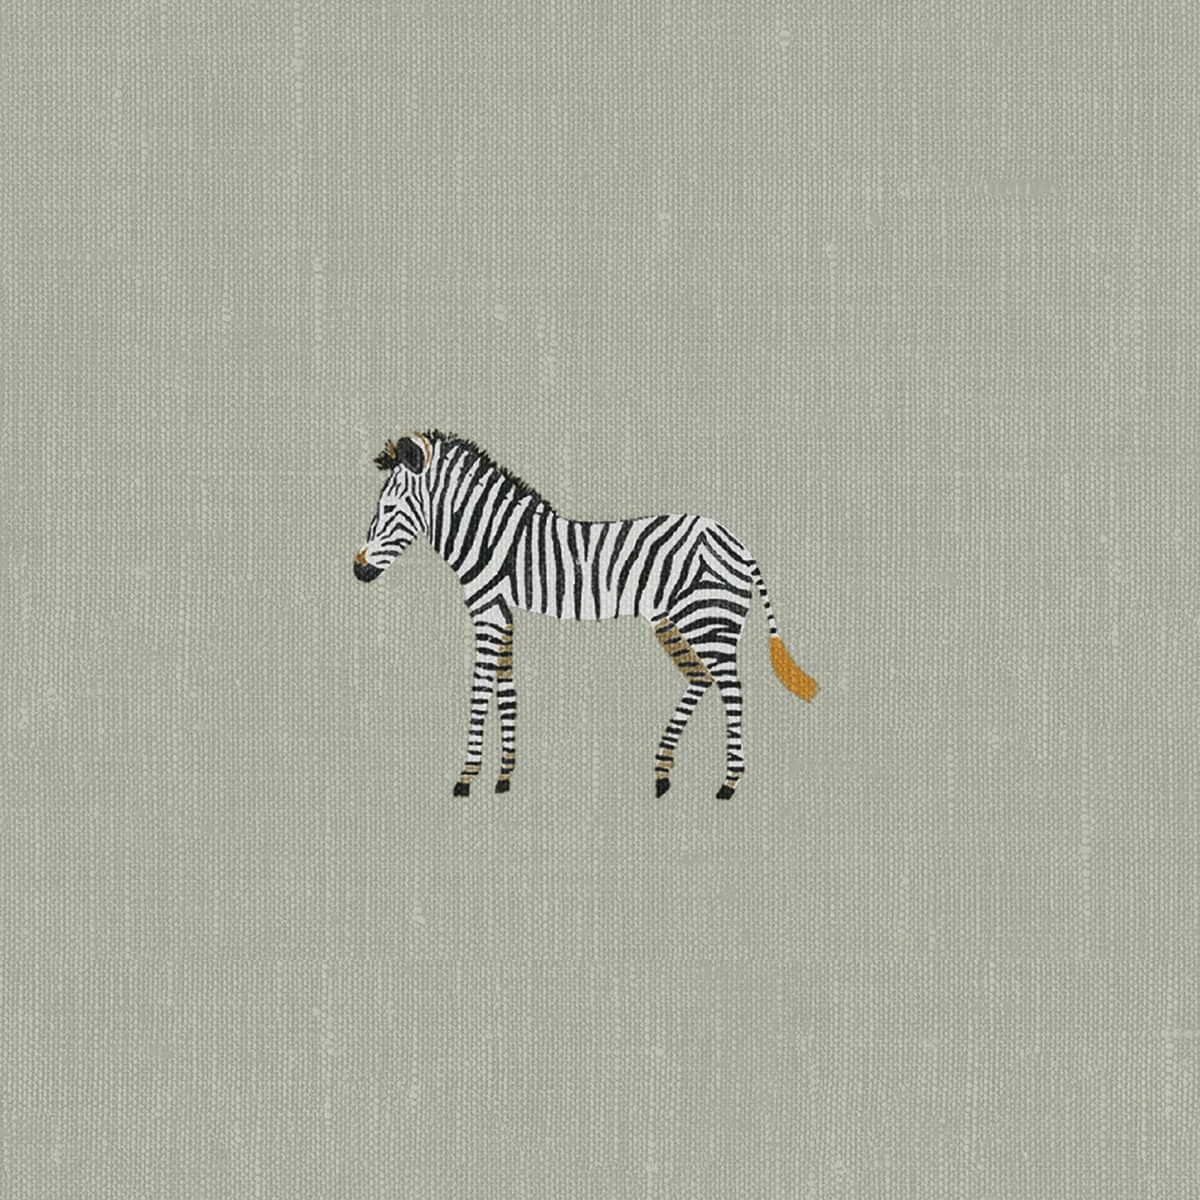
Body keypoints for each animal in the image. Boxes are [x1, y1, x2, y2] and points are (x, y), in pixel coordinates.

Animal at [352, 430, 818, 799]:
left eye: (388, 509)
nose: (358, 570)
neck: (494, 539)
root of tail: (736, 542)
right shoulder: (502, 612)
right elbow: (506, 689)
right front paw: (504, 776)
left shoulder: (487, 612)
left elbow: (481, 688)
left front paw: (467, 777)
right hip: (672, 622)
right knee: (701, 679)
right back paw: (663, 769)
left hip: (710, 620)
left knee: (732, 689)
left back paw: (729, 782)